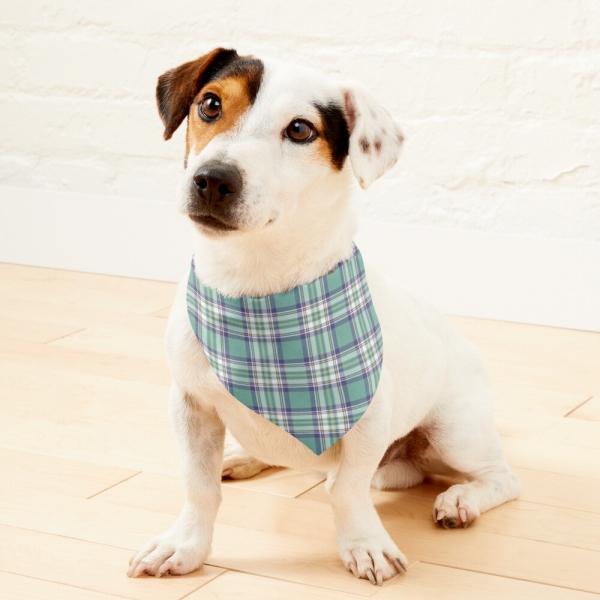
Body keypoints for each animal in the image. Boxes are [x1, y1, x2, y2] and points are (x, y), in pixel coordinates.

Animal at [127, 48, 520, 584]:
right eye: (210, 104)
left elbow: (347, 490)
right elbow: (199, 486)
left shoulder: (368, 420)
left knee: (500, 477)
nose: (212, 179)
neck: (255, 286)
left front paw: (365, 544)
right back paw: (244, 456)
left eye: (299, 130)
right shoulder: (190, 405)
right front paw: (185, 545)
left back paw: (461, 499)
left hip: (456, 432)